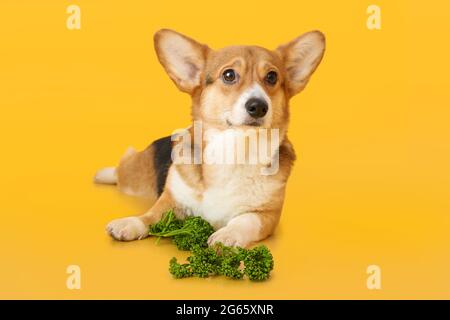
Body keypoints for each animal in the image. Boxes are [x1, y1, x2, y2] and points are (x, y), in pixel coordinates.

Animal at [95, 28, 326, 248]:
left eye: (272, 77)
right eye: (229, 75)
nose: (258, 106)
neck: (234, 150)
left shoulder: (266, 215)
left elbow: (244, 221)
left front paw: (227, 235)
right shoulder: (172, 200)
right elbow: (151, 216)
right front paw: (130, 223)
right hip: (135, 178)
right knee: (123, 167)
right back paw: (104, 175)